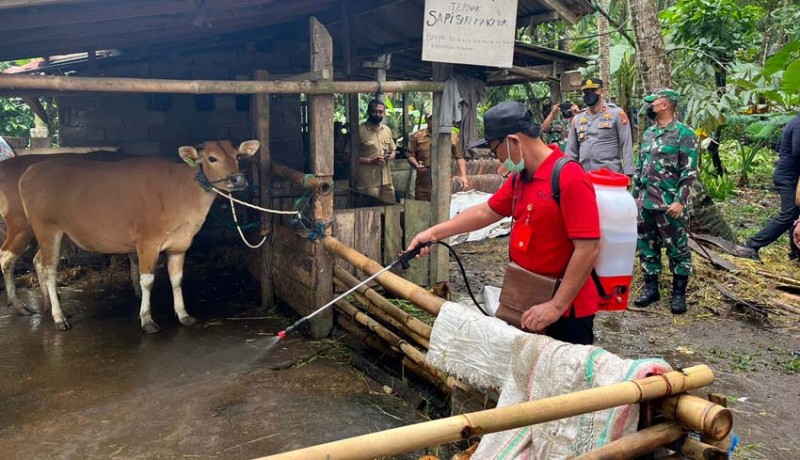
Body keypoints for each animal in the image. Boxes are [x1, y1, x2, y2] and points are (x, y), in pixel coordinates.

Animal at [18, 139, 258, 330]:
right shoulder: (147, 243)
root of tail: (30, 171)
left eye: (237, 156)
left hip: (61, 234)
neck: (179, 190)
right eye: (212, 158)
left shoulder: (179, 245)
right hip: (48, 229)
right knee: (50, 269)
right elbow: (147, 281)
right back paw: (59, 317)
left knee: (39, 261)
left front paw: (183, 315)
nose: (239, 180)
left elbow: (177, 280)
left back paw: (48, 305)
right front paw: (147, 320)